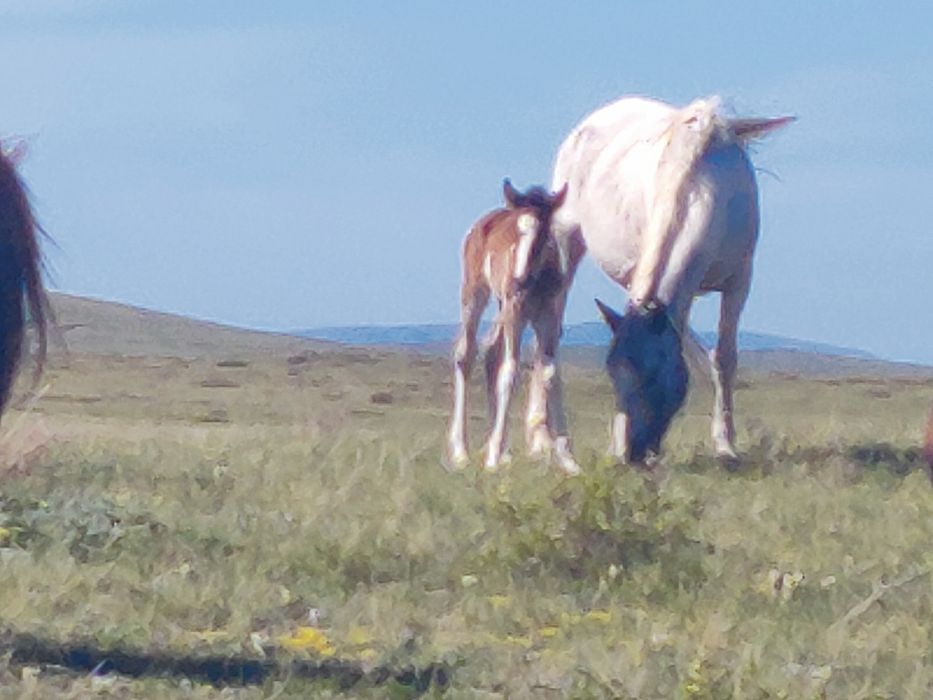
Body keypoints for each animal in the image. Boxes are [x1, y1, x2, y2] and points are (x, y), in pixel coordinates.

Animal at [448, 179, 584, 474]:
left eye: (543, 234)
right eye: (518, 230)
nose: (518, 279)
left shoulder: (548, 316)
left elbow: (549, 372)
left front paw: (567, 460)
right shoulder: (516, 311)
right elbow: (510, 371)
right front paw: (491, 460)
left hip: (503, 306)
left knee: (491, 351)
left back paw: (504, 452)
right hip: (477, 294)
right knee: (466, 353)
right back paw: (462, 452)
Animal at [551, 96, 792, 463]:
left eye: (653, 375)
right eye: (612, 374)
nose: (630, 455)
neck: (699, 185)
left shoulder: (739, 280)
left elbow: (724, 358)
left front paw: (725, 444)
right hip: (567, 241)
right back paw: (557, 448)